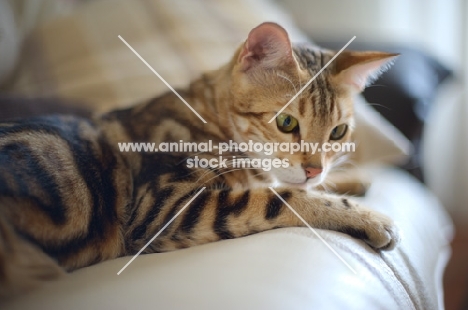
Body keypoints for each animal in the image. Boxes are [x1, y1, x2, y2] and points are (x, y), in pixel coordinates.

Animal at [0, 21, 398, 296]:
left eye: (338, 132)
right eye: (286, 122)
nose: (315, 168)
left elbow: (289, 185)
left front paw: (350, 180)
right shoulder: (162, 207)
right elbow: (281, 196)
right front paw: (366, 216)